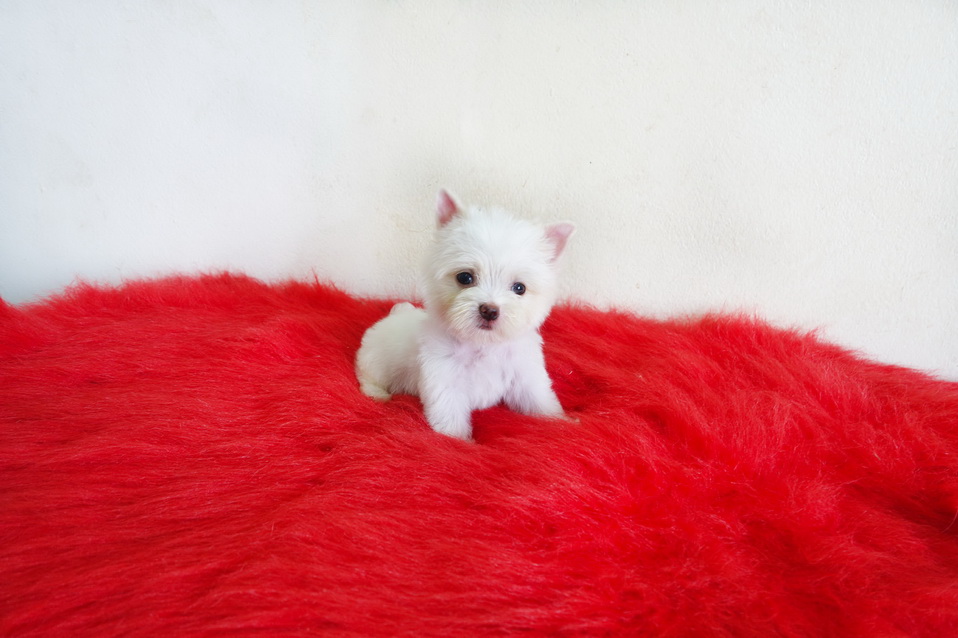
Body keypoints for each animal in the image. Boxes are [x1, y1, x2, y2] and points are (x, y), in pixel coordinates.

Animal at [355, 189, 574, 440]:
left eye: (520, 288)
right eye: (465, 277)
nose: (489, 310)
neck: (483, 344)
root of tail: (397, 312)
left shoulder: (524, 373)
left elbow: (539, 399)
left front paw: (559, 422)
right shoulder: (444, 378)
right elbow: (450, 418)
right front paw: (457, 440)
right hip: (376, 360)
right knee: (367, 375)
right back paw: (377, 393)